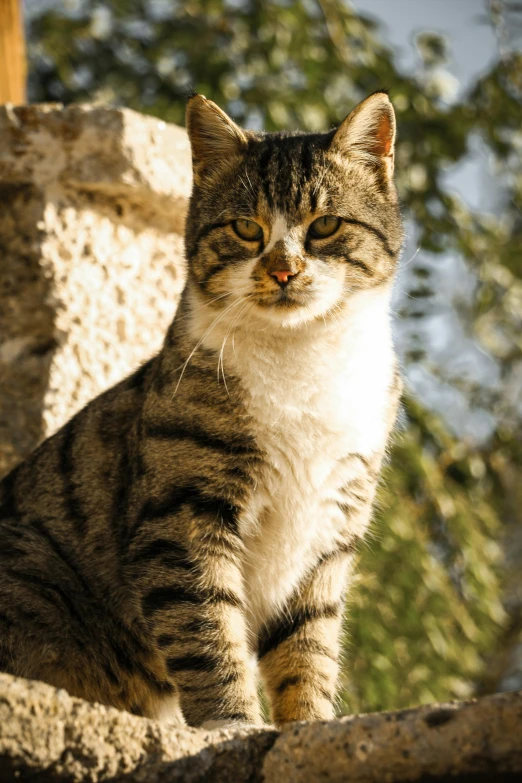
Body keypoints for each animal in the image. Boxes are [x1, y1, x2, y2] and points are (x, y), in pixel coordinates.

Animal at [0, 92, 402, 728]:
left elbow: (309, 648)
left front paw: (307, 724)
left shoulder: (332, 529)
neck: (301, 356)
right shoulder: (183, 516)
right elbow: (207, 631)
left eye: (325, 226)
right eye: (246, 228)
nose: (282, 270)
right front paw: (232, 724)